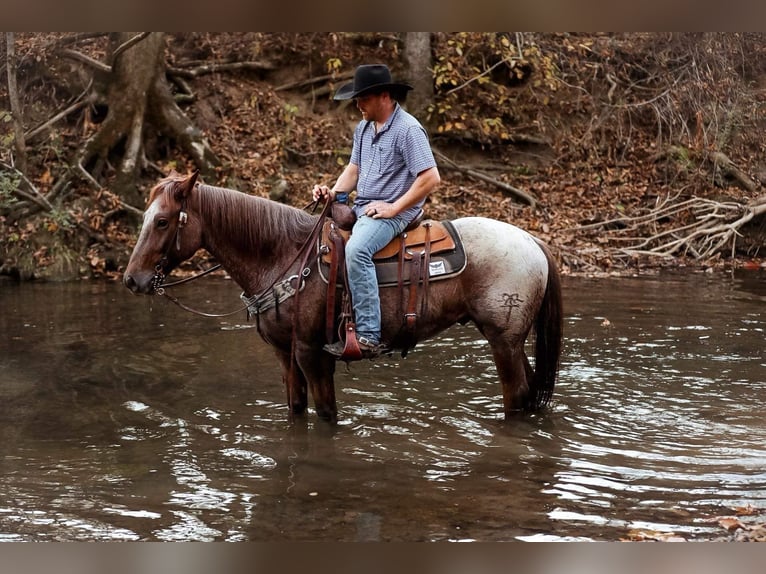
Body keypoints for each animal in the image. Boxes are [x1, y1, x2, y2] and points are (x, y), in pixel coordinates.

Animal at [123, 171, 563, 423]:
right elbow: (296, 410)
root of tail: (532, 240)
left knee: (516, 396)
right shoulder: (284, 353)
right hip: (510, 340)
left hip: (503, 340)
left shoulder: (312, 353)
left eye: (162, 221)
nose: (131, 280)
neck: (281, 255)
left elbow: (326, 414)